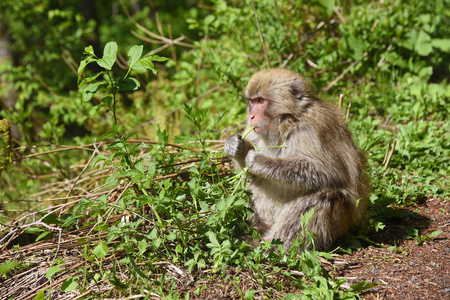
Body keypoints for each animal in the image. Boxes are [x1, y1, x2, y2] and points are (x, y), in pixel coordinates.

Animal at [224, 68, 370, 251]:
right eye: (251, 101)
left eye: (261, 101)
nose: (251, 116)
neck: (286, 121)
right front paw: (236, 146)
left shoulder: (309, 130)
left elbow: (327, 173)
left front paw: (258, 160)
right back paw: (257, 227)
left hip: (339, 223)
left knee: (324, 197)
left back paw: (270, 245)